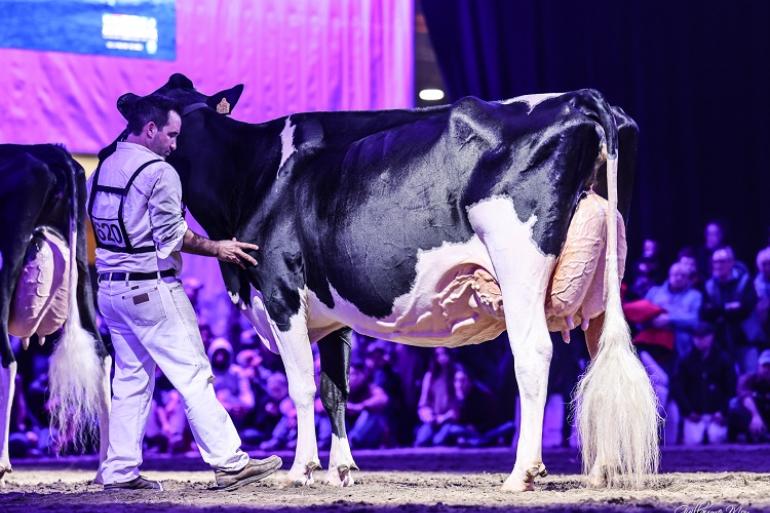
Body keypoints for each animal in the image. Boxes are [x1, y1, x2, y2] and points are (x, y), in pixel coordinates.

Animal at [0, 145, 111, 484]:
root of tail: (50, 151)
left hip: (12, 245)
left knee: (7, 358)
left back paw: (2, 463)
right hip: (83, 264)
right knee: (102, 353)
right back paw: (107, 468)